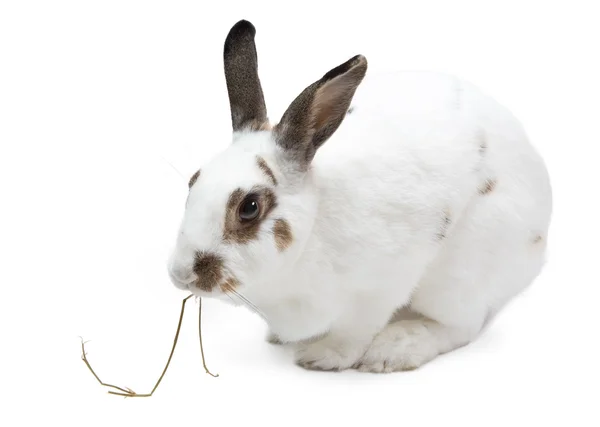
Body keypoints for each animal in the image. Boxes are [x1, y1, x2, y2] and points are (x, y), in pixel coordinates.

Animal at [166, 20, 552, 372]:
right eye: (193, 182)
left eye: (249, 207)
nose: (180, 275)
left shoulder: (379, 287)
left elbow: (353, 332)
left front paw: (324, 357)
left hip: (460, 274)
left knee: (459, 326)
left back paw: (395, 349)